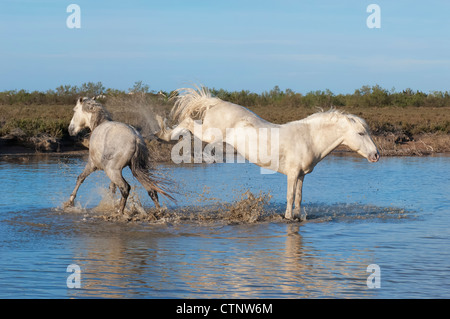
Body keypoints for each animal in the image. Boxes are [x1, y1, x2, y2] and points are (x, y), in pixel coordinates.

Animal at [156, 86, 378, 221]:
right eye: (361, 133)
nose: (376, 155)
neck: (309, 137)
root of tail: (216, 103)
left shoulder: (302, 176)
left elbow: (299, 198)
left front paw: (297, 217)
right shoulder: (292, 174)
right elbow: (290, 197)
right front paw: (288, 218)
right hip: (209, 134)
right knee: (187, 122)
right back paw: (163, 132)